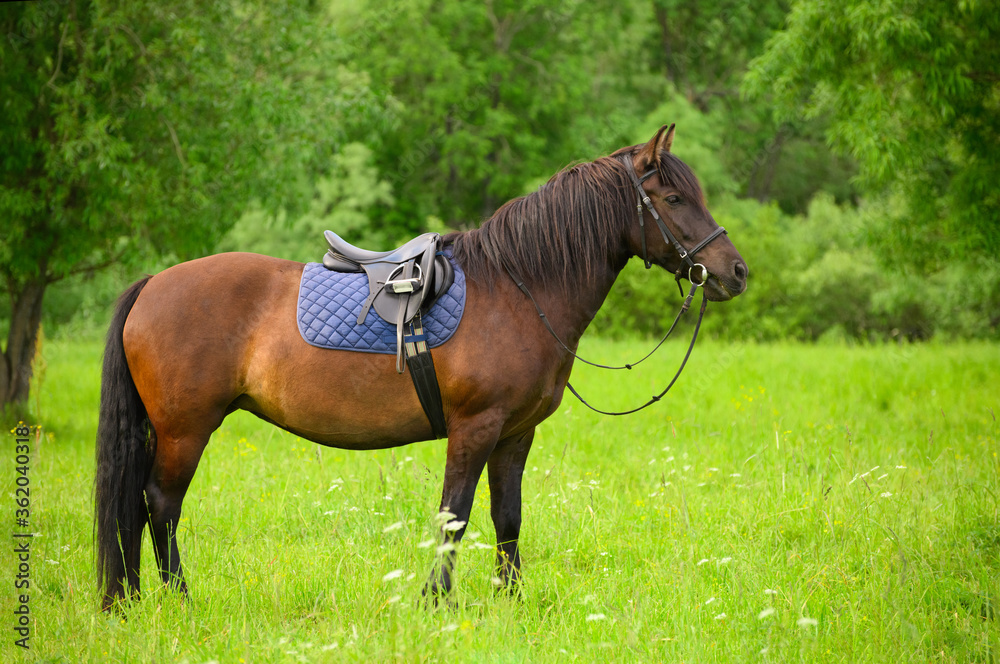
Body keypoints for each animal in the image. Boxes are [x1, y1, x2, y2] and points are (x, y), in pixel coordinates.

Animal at [94, 124, 748, 610]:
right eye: (673, 199)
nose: (735, 272)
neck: (518, 290)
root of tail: (152, 284)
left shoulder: (515, 435)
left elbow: (506, 515)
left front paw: (510, 601)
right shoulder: (476, 428)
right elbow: (454, 516)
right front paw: (439, 603)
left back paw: (134, 598)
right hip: (185, 429)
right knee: (160, 504)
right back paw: (180, 598)